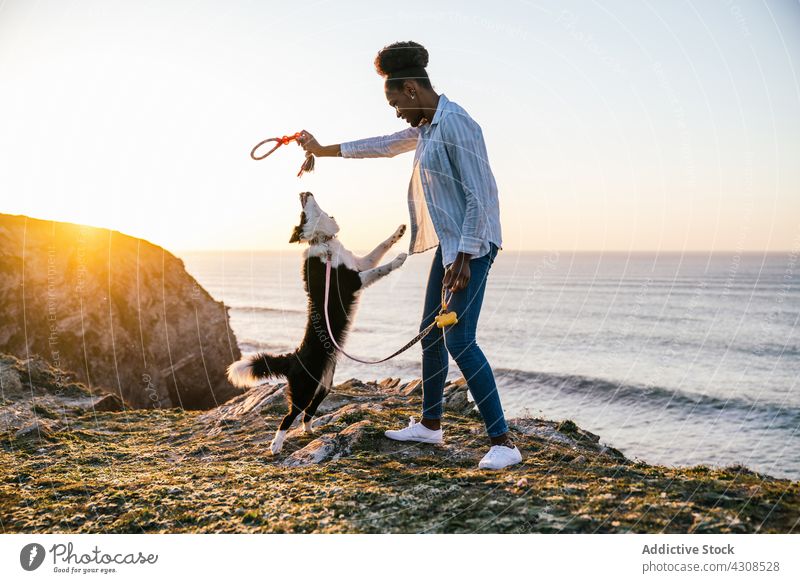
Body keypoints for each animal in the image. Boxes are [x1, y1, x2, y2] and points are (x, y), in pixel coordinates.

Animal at [228, 193, 410, 456]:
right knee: (289, 415)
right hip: (304, 387)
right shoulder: (352, 281)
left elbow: (380, 247)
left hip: (324, 385)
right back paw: (276, 444)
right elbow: (381, 268)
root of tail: (293, 357)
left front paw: (399, 231)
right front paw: (399, 259)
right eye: (302, 214)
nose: (302, 192)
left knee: (307, 412)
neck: (324, 243)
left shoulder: (359, 262)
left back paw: (309, 430)